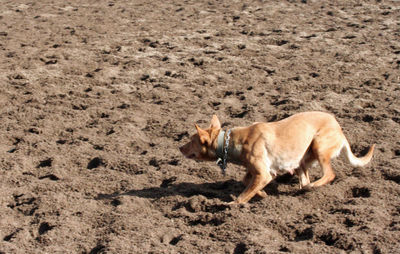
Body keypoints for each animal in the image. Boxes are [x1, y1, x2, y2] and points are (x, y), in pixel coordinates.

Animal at [179, 111, 376, 204]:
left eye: (191, 141)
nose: (179, 147)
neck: (230, 142)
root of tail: (339, 128)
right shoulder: (261, 173)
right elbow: (246, 182)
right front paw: (263, 194)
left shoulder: (263, 174)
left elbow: (244, 194)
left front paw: (232, 205)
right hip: (302, 159)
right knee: (304, 179)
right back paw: (303, 190)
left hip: (319, 146)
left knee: (329, 174)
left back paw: (313, 186)